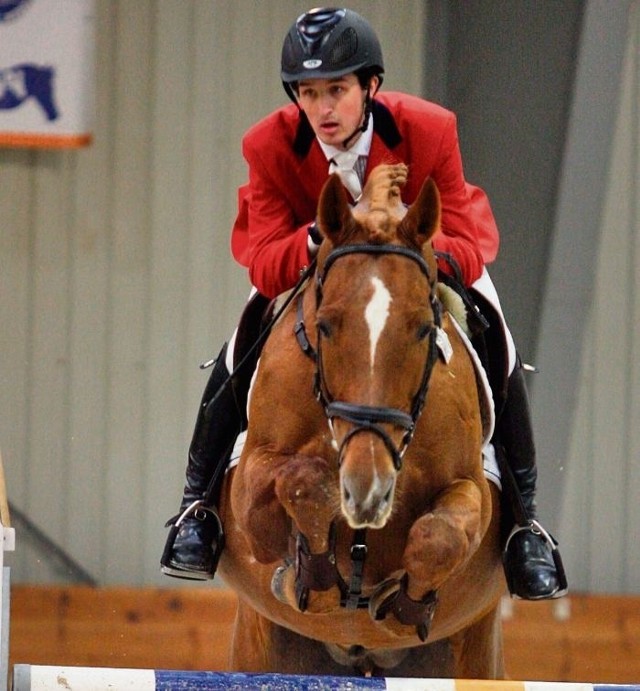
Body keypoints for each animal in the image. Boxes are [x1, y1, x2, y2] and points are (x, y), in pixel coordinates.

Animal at [218, 165, 508, 680]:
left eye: (423, 329)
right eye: (326, 326)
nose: (368, 490)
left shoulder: (470, 486)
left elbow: (441, 536)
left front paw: (403, 605)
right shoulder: (251, 491)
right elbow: (303, 482)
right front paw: (309, 577)